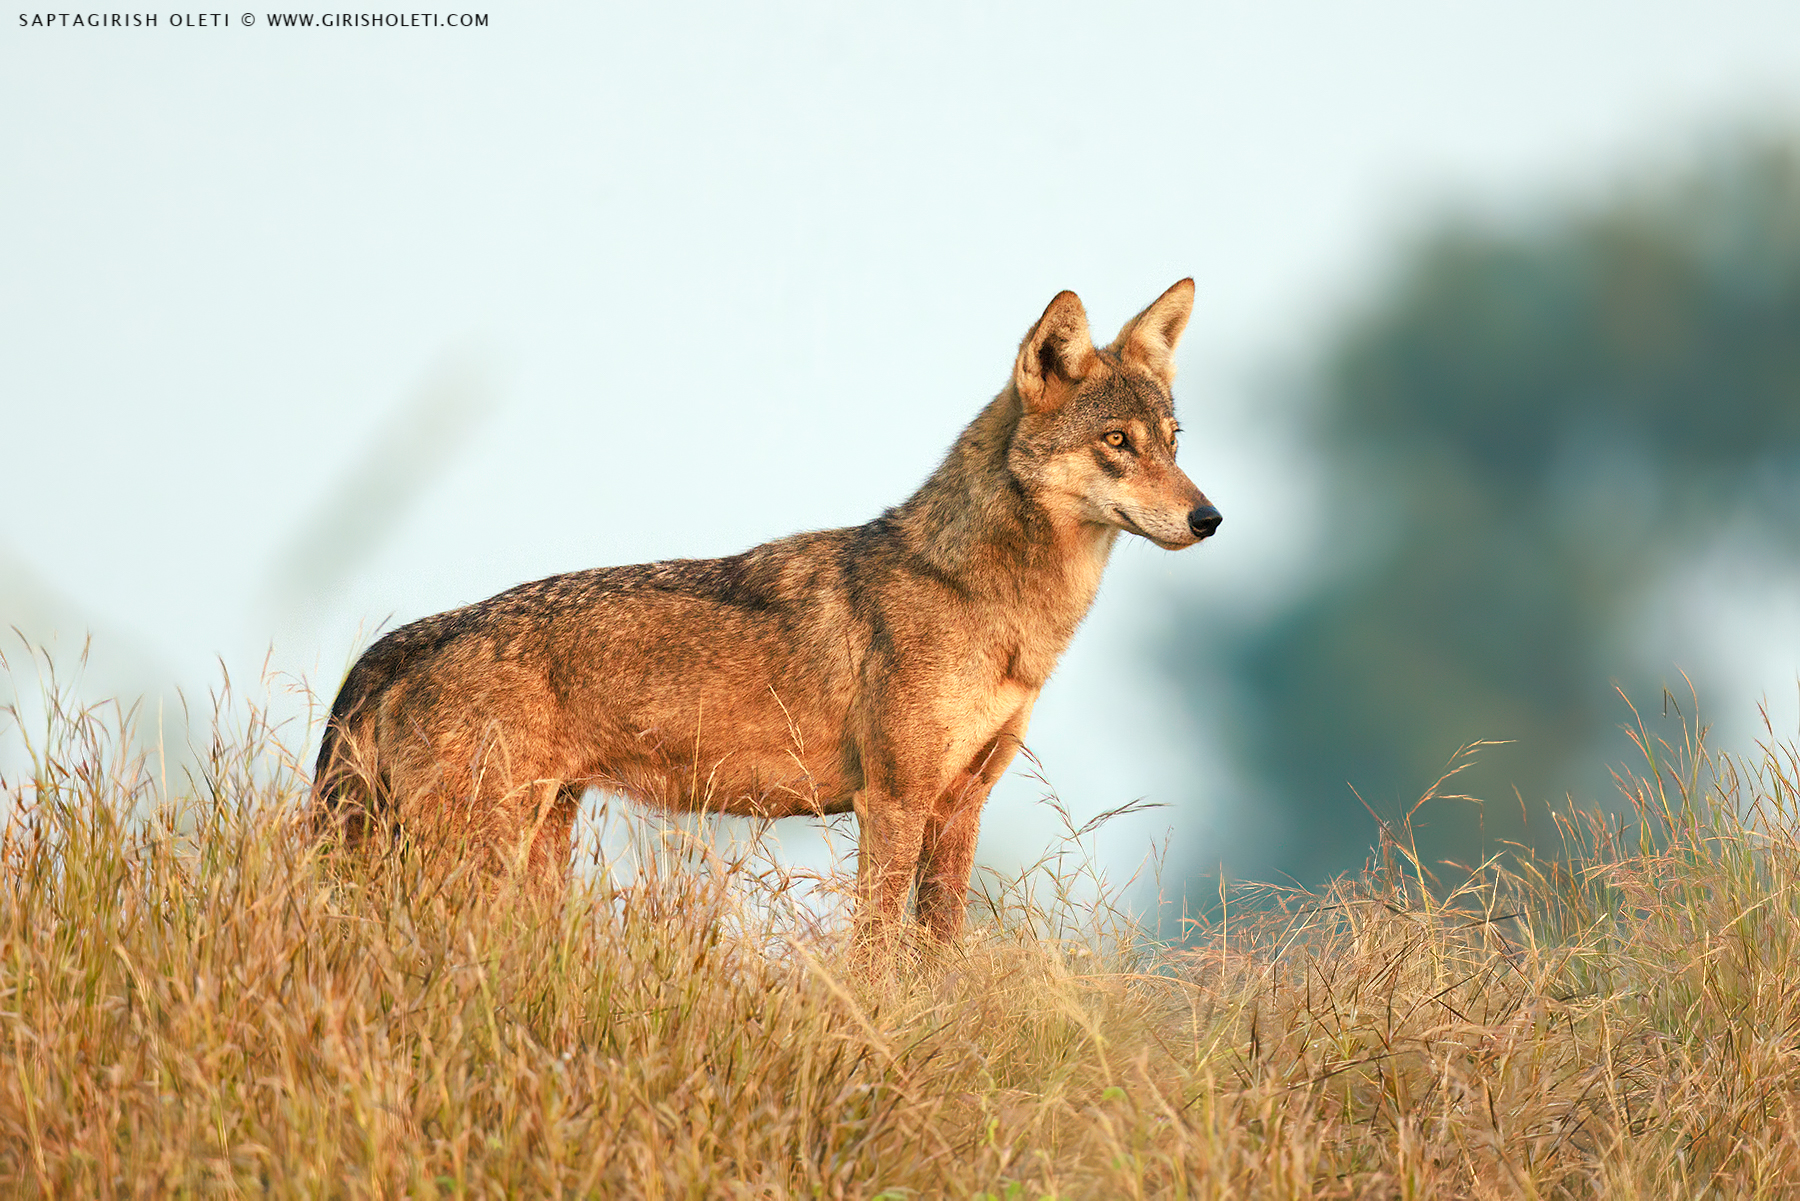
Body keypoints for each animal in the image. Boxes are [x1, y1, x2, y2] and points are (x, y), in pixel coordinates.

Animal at [311, 279, 1221, 949]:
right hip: (471, 859)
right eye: (1116, 441)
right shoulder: (892, 801)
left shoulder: (960, 806)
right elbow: (874, 953)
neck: (991, 608)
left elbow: (938, 953)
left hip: (533, 851)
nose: (1208, 517)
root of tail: (409, 639)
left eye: (1174, 440)